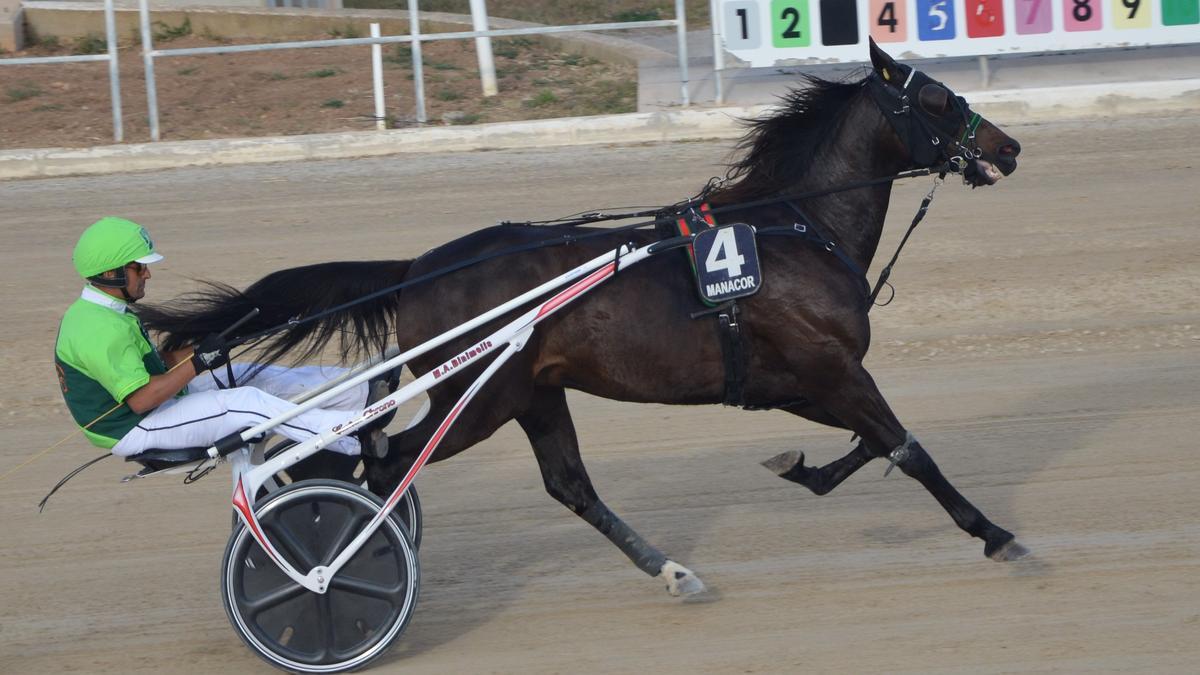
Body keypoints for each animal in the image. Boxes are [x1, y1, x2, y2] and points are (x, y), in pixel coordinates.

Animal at [140, 42, 1022, 595]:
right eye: (937, 97)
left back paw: (671, 570)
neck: (792, 227)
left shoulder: (795, 380)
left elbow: (871, 443)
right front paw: (995, 533)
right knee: (385, 468)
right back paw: (334, 566)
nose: (1008, 147)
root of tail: (417, 268)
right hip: (480, 398)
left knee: (557, 483)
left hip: (533, 391)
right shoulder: (831, 367)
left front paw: (799, 466)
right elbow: (907, 446)